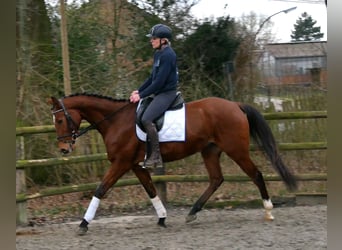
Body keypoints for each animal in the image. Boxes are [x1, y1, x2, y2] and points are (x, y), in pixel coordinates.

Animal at [48, 93, 296, 235]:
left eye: (59, 120)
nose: (63, 149)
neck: (115, 120)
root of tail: (235, 105)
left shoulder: (121, 163)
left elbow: (101, 189)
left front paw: (83, 224)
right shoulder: (135, 165)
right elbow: (150, 190)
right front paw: (162, 218)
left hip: (236, 150)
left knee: (256, 175)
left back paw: (268, 210)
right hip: (210, 150)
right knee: (216, 179)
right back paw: (192, 213)